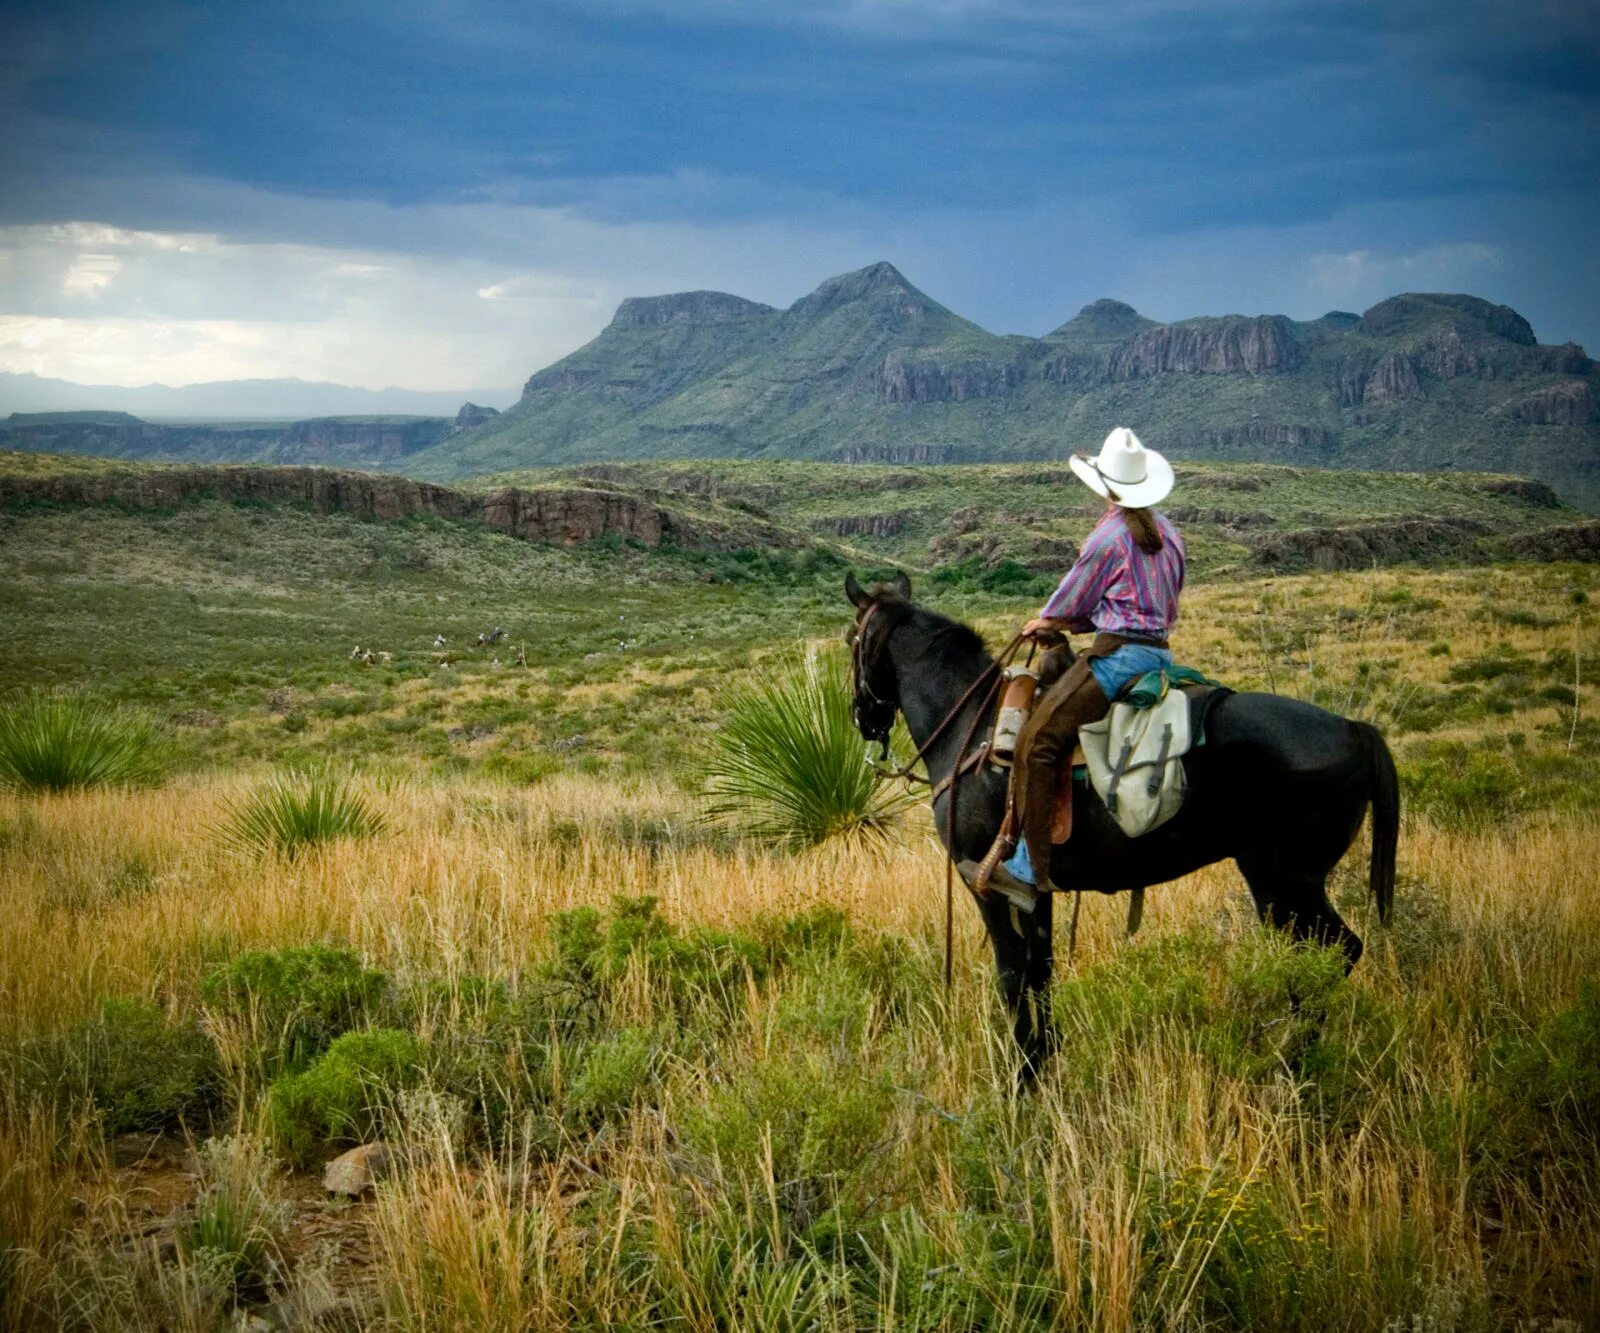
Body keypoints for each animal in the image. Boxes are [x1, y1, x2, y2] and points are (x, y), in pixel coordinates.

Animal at [844, 572, 1395, 1081]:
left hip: (1289, 880)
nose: (862, 719)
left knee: (1336, 951)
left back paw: (1290, 1064)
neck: (972, 730)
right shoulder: (1035, 890)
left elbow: (1012, 977)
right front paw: (1044, 1062)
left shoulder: (985, 881)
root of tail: (1356, 729)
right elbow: (1041, 973)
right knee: (1310, 956)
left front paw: (1021, 1079)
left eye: (851, 639)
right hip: (1274, 881)